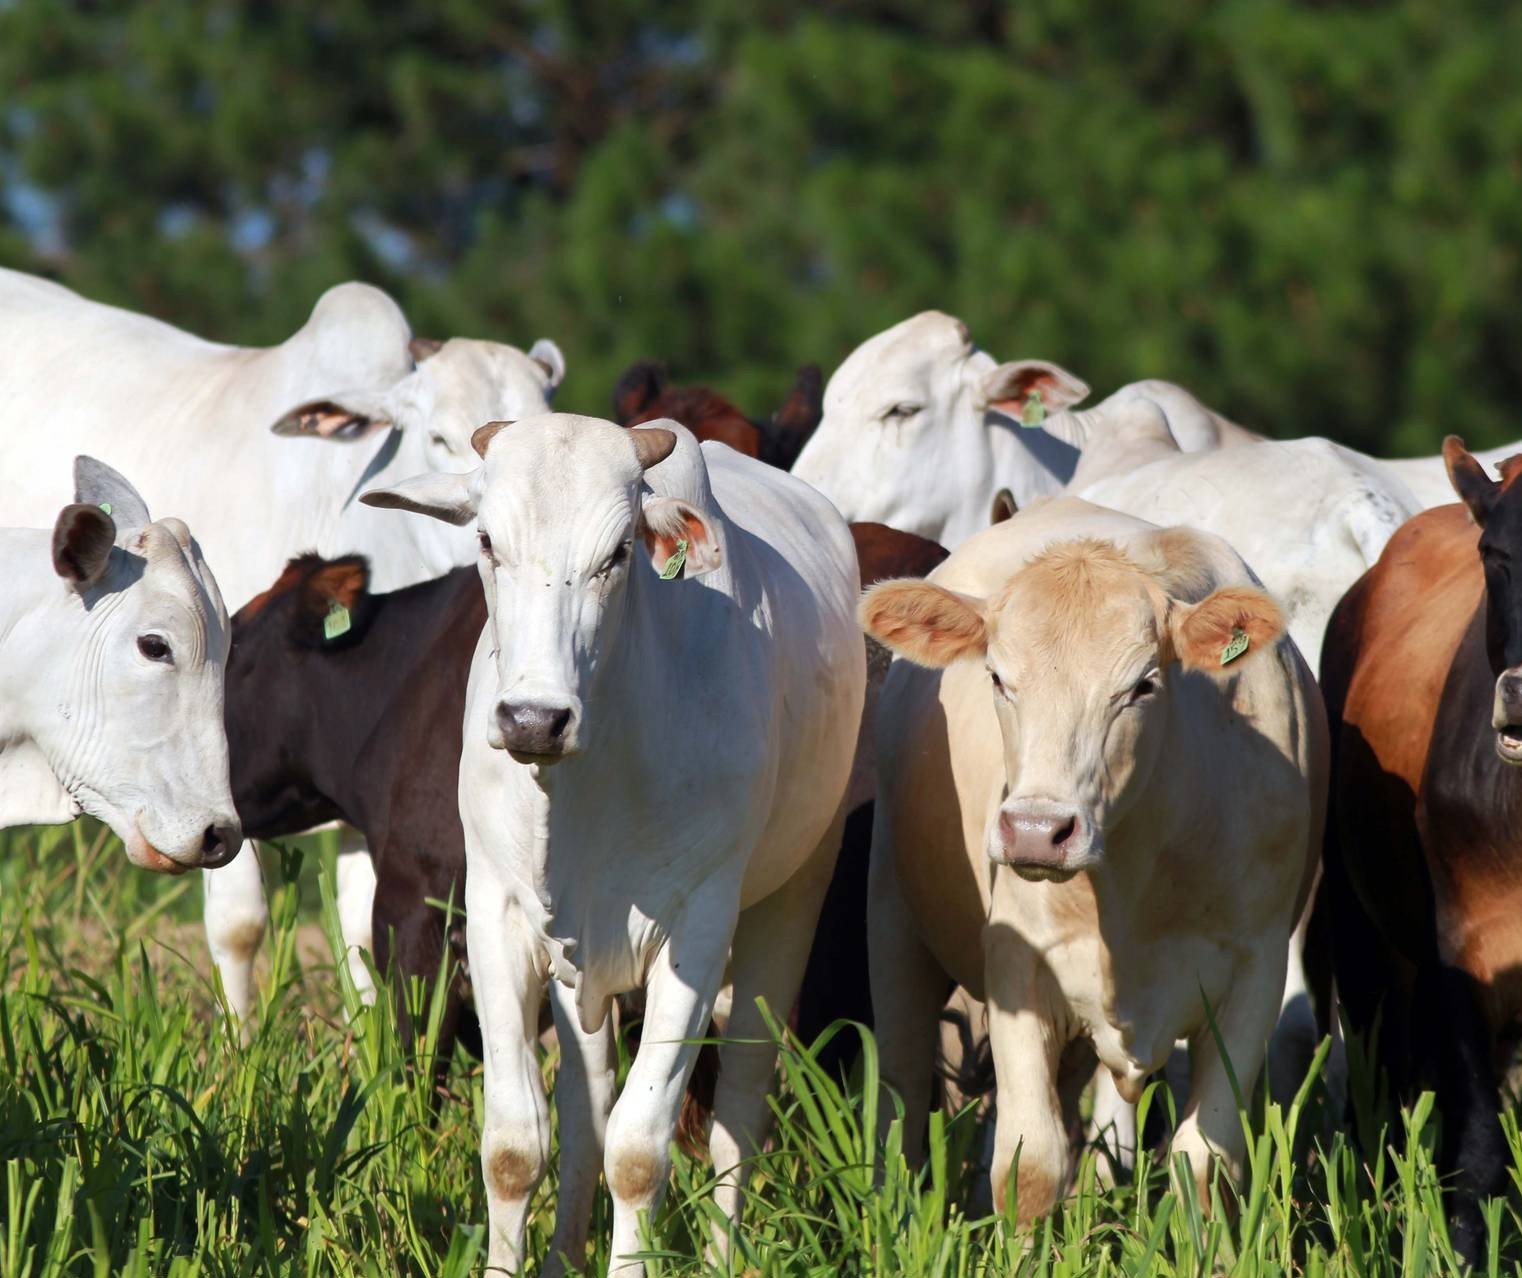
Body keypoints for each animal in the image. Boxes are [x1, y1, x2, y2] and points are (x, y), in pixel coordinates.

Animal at [362, 413, 870, 1271]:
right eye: (487, 541)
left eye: (619, 553)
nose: (533, 719)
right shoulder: (499, 917)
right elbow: (515, 1144)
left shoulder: (696, 930)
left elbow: (639, 1152)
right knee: (586, 1103)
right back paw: (566, 1253)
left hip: (792, 898)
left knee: (738, 1109)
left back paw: (719, 1255)